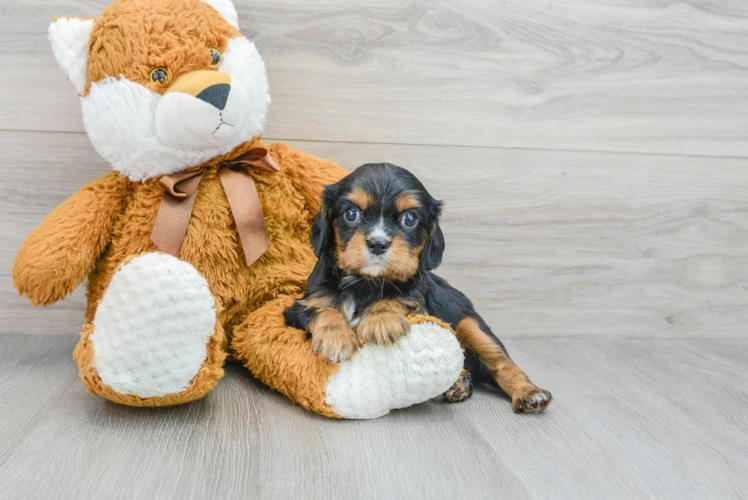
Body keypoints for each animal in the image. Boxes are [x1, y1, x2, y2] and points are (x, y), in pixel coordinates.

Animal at [284, 162, 552, 412]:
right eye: (351, 214)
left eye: (410, 219)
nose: (378, 243)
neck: (365, 282)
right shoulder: (299, 307)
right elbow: (324, 309)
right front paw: (336, 337)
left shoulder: (418, 300)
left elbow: (401, 297)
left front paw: (382, 320)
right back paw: (460, 383)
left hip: (470, 324)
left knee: (502, 363)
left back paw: (528, 393)